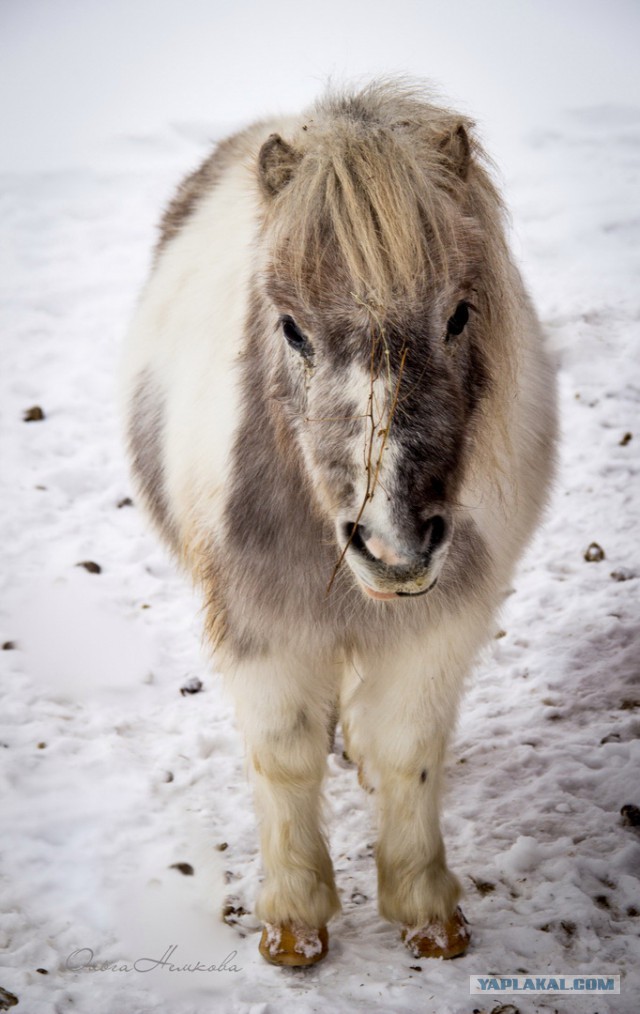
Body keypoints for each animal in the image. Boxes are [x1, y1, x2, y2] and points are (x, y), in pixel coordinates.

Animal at [120, 79, 555, 965]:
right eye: (290, 327)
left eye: (461, 314)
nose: (393, 549)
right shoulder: (259, 621)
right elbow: (283, 756)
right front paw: (294, 923)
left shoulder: (438, 625)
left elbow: (408, 749)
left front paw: (426, 912)